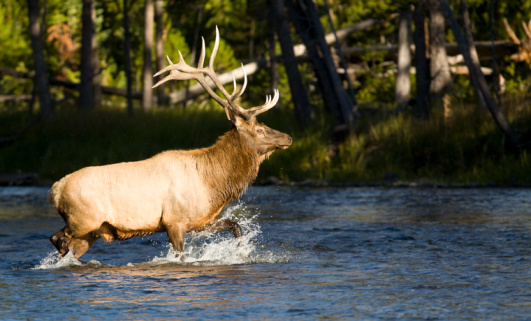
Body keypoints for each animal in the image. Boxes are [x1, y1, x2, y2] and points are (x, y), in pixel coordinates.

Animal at [47, 26, 294, 258]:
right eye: (260, 129)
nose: (288, 137)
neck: (213, 183)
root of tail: (55, 190)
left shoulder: (200, 220)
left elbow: (236, 226)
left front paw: (243, 253)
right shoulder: (174, 221)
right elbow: (180, 256)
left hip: (92, 231)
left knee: (66, 245)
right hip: (83, 220)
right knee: (56, 238)